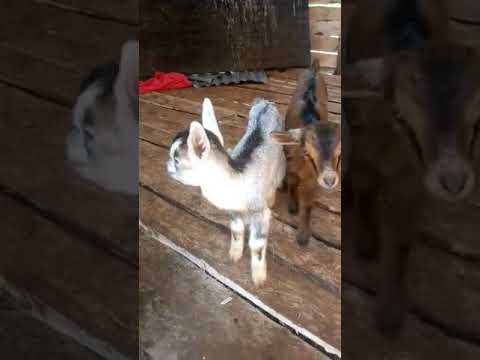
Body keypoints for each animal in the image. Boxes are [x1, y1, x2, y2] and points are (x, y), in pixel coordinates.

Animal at [166, 97, 284, 286]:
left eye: (176, 160)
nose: (167, 164)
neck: (235, 181)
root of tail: (266, 103)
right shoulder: (232, 208)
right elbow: (236, 230)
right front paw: (234, 254)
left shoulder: (259, 212)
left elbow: (257, 245)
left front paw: (258, 277)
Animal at [270, 59, 342, 245]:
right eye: (307, 153)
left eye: (340, 155)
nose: (330, 180)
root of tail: (314, 68)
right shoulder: (290, 165)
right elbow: (291, 182)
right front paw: (292, 205)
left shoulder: (312, 180)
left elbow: (308, 204)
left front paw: (303, 235)